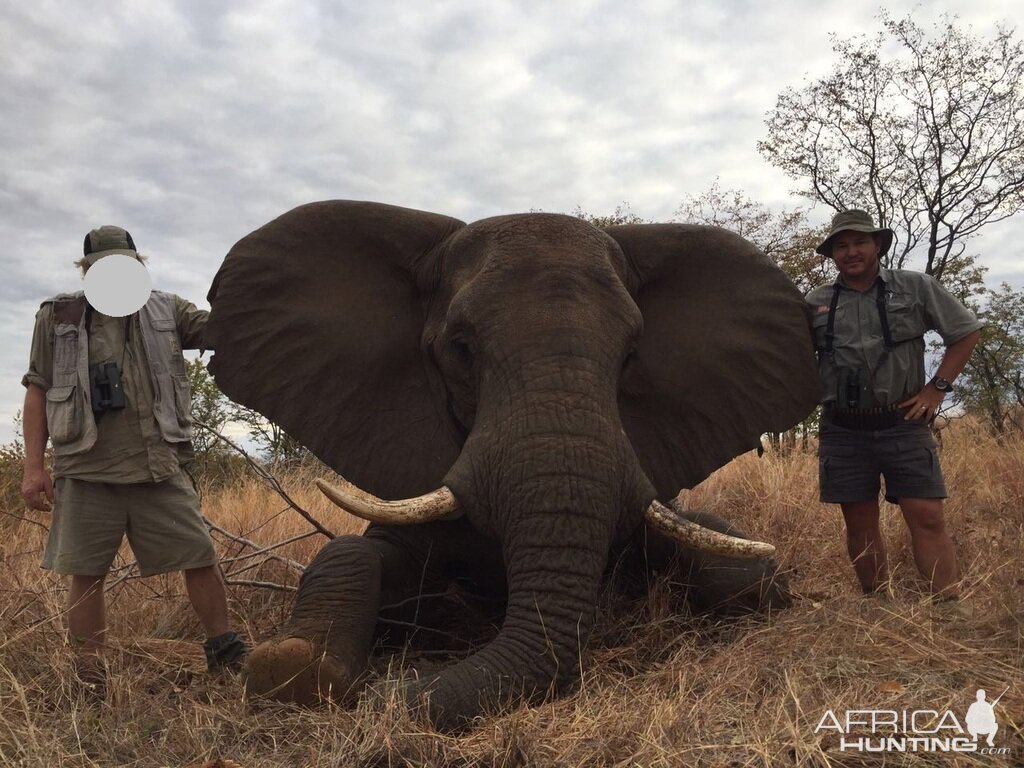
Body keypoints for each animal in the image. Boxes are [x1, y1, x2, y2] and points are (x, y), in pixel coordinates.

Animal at [203, 201, 819, 729]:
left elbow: (744, 571)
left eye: (631, 356)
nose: (394, 693)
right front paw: (293, 668)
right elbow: (352, 551)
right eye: (460, 348)